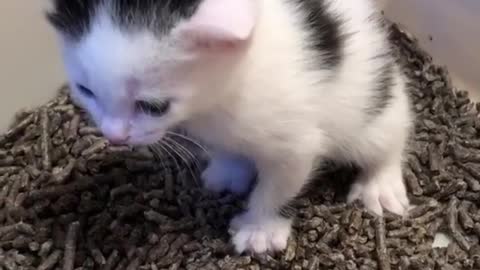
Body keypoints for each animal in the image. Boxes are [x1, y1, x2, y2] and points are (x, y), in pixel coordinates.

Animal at [46, 0, 412, 253]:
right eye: (86, 91)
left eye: (153, 107)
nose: (115, 136)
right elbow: (227, 149)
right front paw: (231, 171)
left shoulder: (296, 143)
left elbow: (278, 184)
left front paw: (259, 228)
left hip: (371, 107)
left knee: (391, 133)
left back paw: (380, 184)